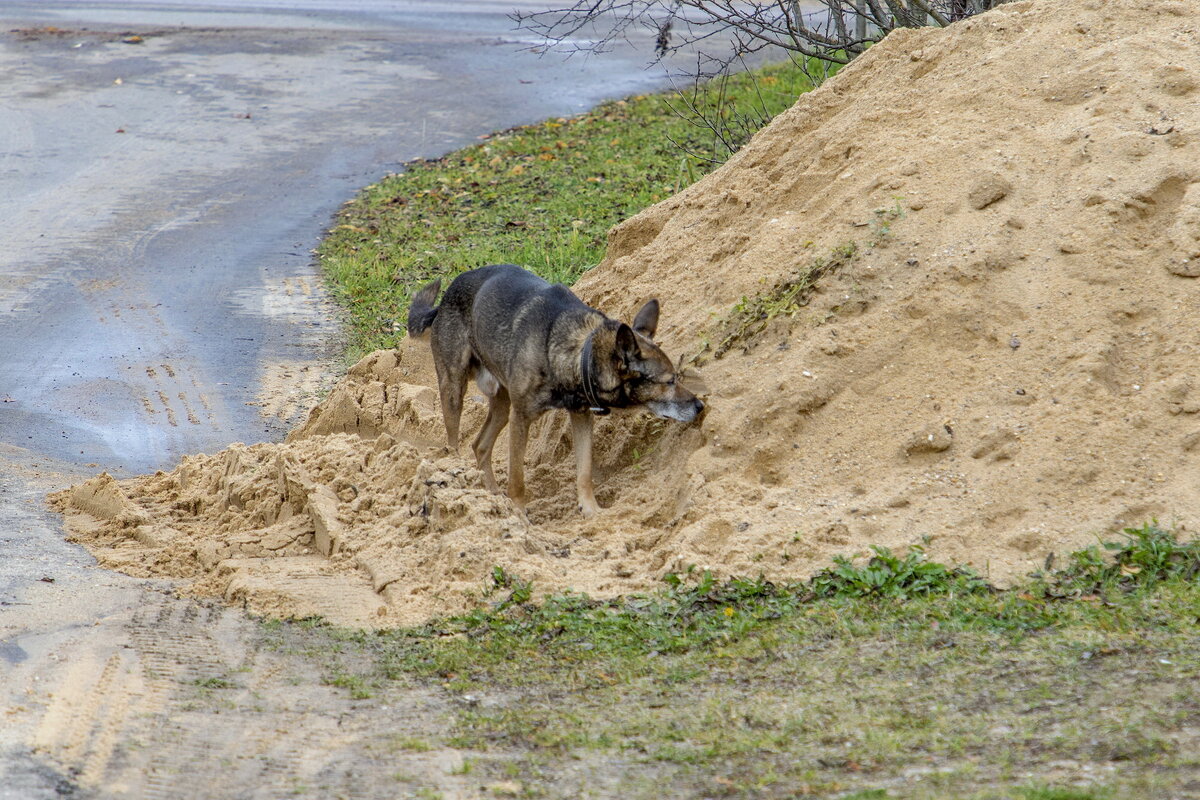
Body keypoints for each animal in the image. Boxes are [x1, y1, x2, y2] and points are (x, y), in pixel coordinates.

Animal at [408, 262, 700, 513]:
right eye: (669, 381)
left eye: (677, 377)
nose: (700, 405)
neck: (577, 352)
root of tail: (444, 300)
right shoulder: (521, 418)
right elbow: (517, 478)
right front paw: (519, 513)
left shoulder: (581, 416)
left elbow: (584, 471)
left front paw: (591, 510)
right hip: (454, 389)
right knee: (453, 445)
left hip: (502, 405)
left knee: (480, 446)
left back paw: (490, 497)